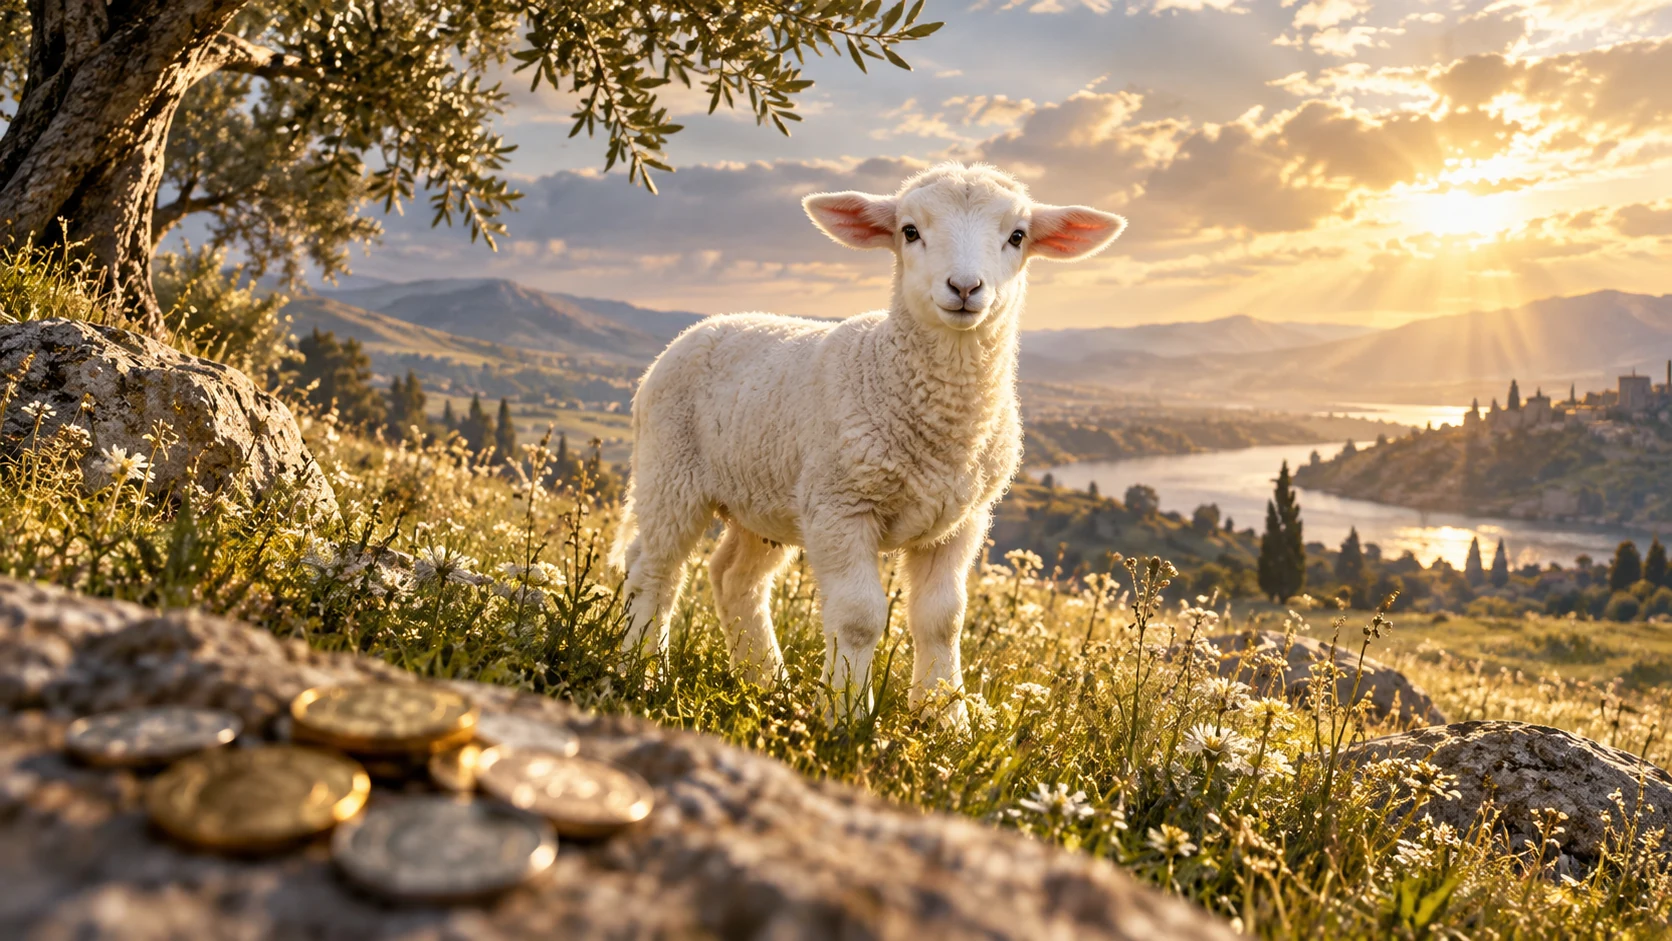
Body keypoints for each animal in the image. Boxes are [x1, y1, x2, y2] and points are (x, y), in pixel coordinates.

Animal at [610, 161, 1126, 725]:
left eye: (1017, 236)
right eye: (910, 231)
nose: (965, 286)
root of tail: (705, 325)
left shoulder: (961, 521)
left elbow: (943, 619)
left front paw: (946, 718)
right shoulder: (840, 506)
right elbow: (859, 617)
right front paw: (847, 716)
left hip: (763, 499)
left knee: (733, 578)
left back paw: (767, 681)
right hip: (670, 470)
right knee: (654, 573)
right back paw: (641, 672)